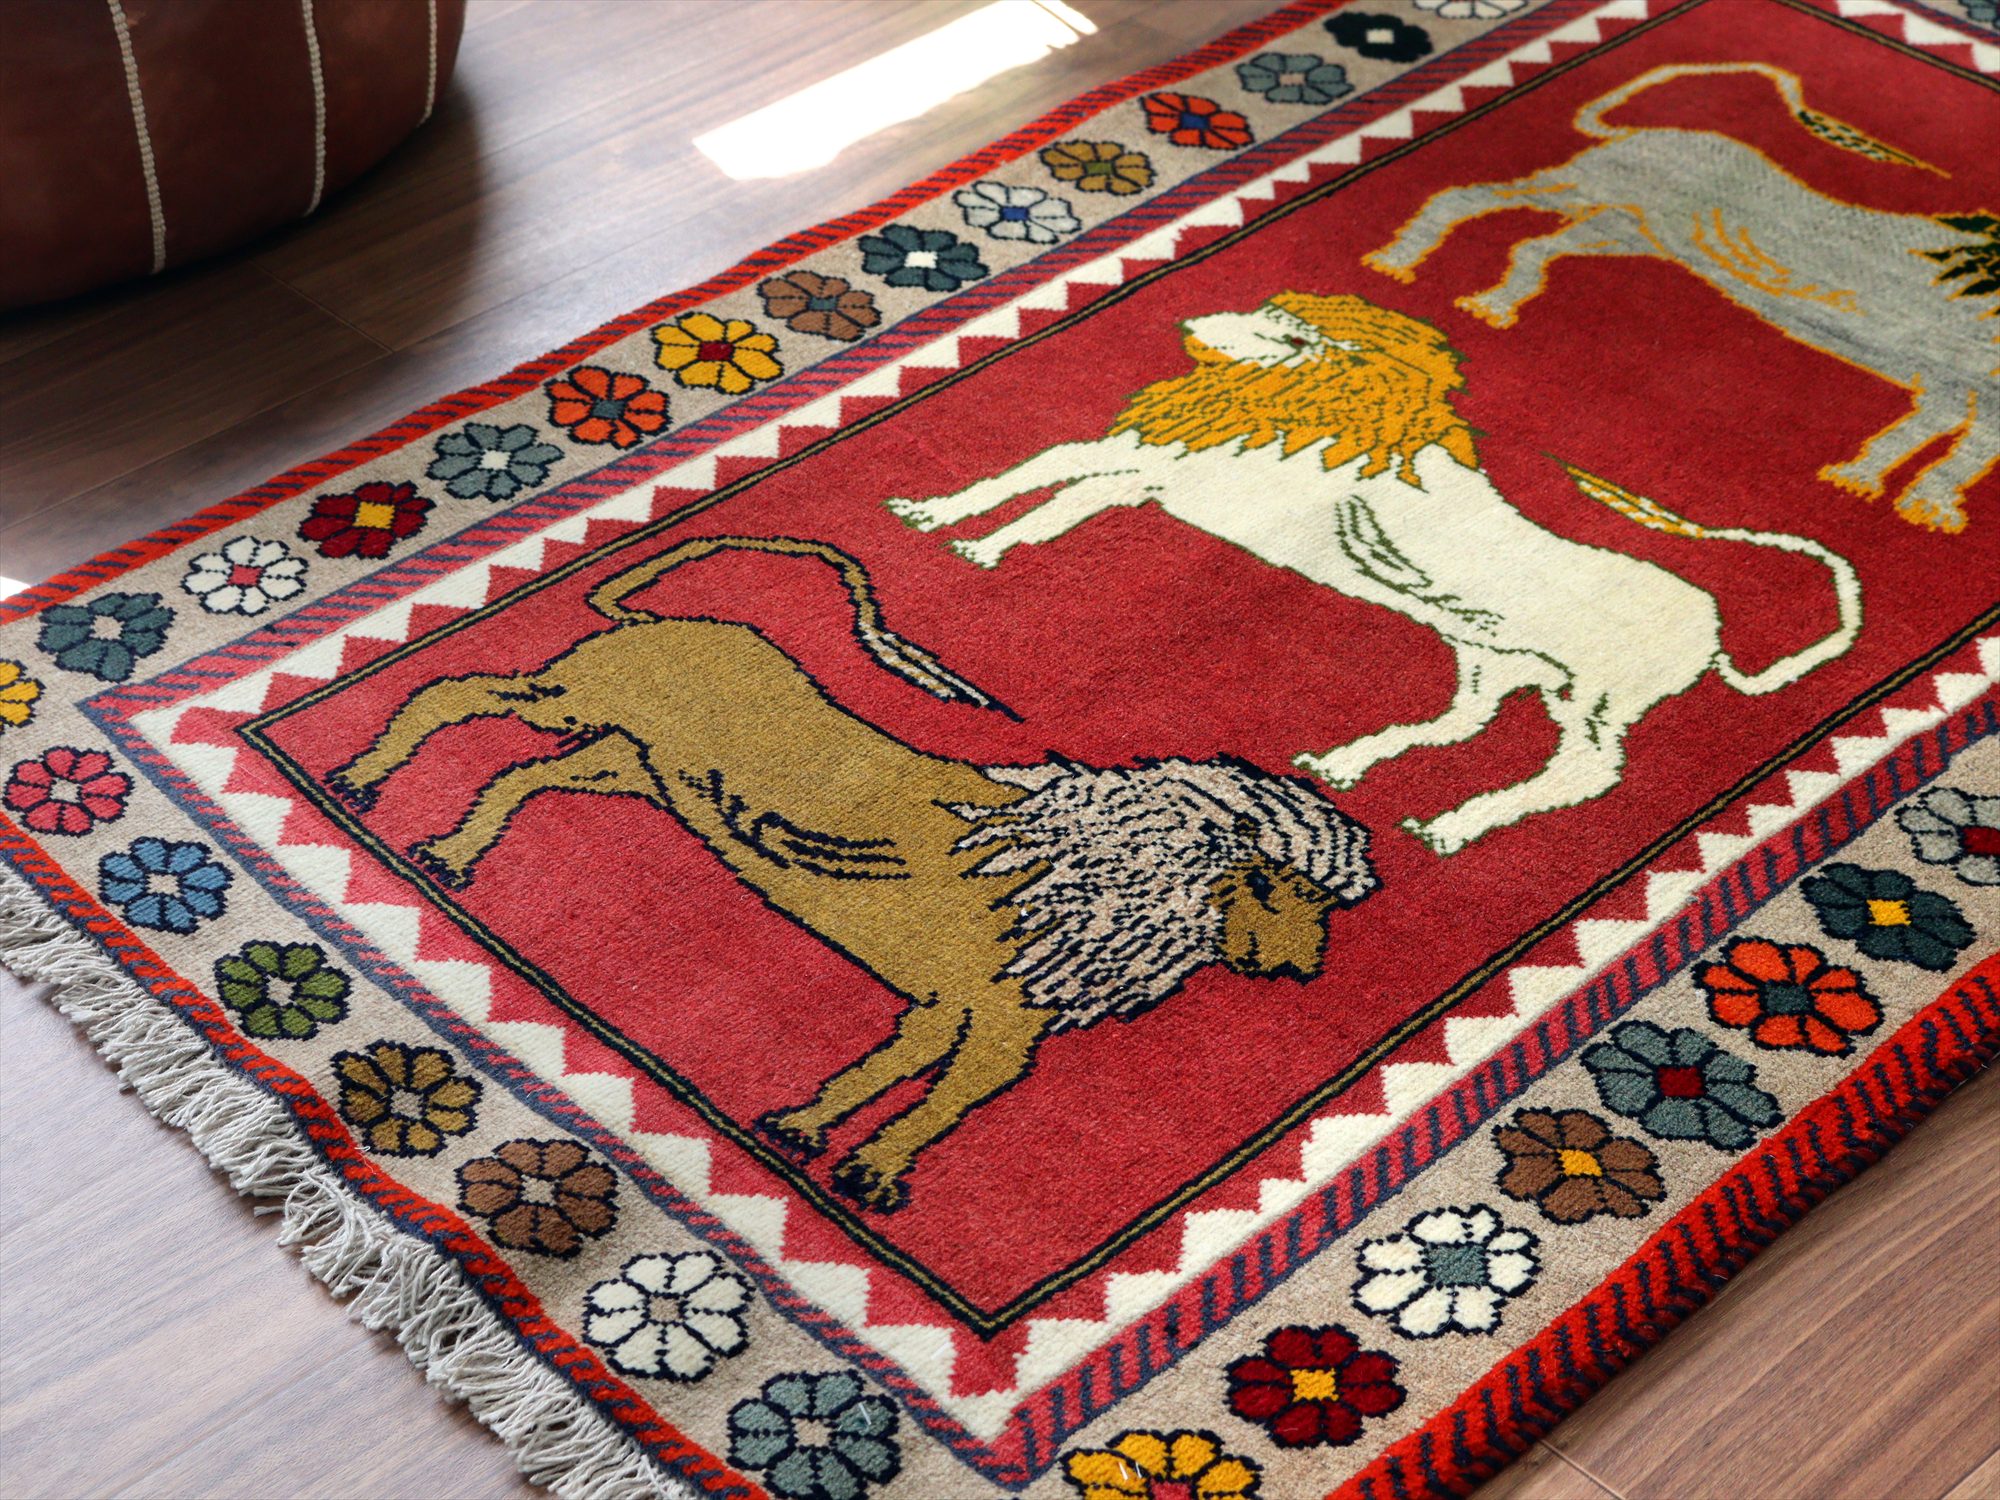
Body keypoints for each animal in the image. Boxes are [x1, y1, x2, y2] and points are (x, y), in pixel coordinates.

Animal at [329, 534, 1377, 1212]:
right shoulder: (1001, 1027)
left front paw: (804, 1130)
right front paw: (876, 1173)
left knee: (522, 775)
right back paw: (362, 777)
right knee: (450, 693)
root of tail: (676, 618)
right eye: (1283, 889)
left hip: (632, 766)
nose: (1309, 969)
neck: (1086, 878)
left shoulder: (951, 1006)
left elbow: (887, 1069)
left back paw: (452, 850)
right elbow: (942, 1102)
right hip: (579, 697)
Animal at [888, 292, 1862, 855]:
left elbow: (1057, 475)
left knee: (1585, 775)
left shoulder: (1170, 478)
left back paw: (1454, 825)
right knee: (1467, 721)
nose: (1188, 326)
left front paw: (961, 530)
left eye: (1290, 334)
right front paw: (955, 530)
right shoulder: (1156, 472)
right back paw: (1354, 763)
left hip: (1596, 699)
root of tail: (1712, 625)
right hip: (1496, 659)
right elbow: (1056, 485)